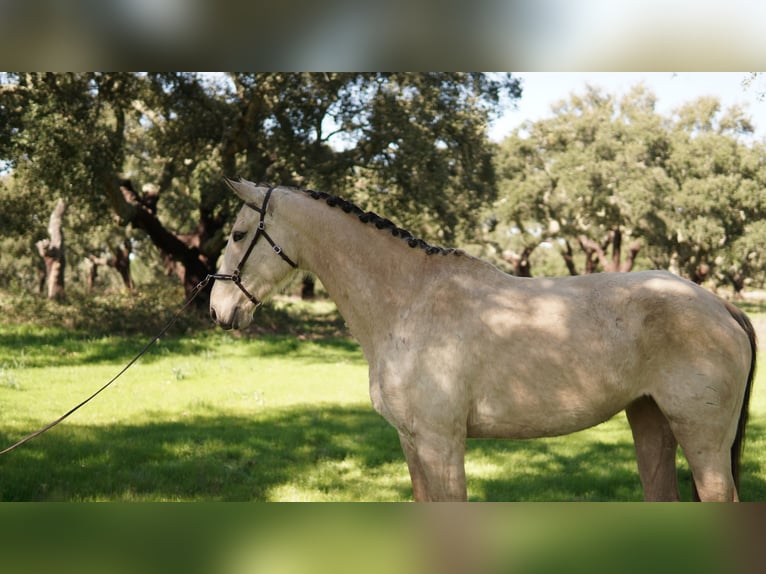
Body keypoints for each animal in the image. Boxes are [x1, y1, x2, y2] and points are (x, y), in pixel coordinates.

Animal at [209, 179, 756, 502]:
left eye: (237, 234)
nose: (218, 309)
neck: (408, 299)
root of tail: (718, 304)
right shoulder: (412, 443)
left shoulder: (442, 443)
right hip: (651, 421)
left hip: (702, 439)